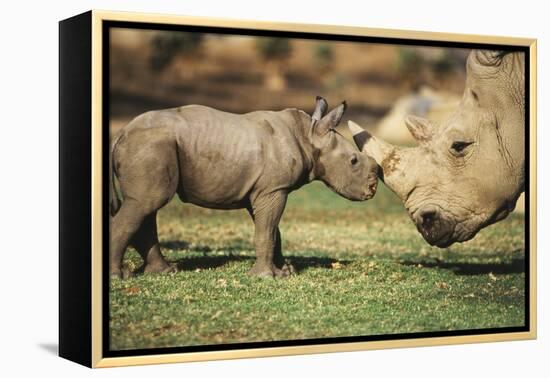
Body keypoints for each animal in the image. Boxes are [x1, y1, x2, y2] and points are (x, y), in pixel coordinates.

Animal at [111, 96, 380, 280]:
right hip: (150, 145)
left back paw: (165, 271)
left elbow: (273, 232)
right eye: (353, 161)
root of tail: (121, 133)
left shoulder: (266, 190)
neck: (309, 135)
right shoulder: (273, 190)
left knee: (147, 206)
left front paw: (285, 271)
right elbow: (267, 232)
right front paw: (266, 277)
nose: (373, 188)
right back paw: (120, 276)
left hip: (152, 146)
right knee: (147, 203)